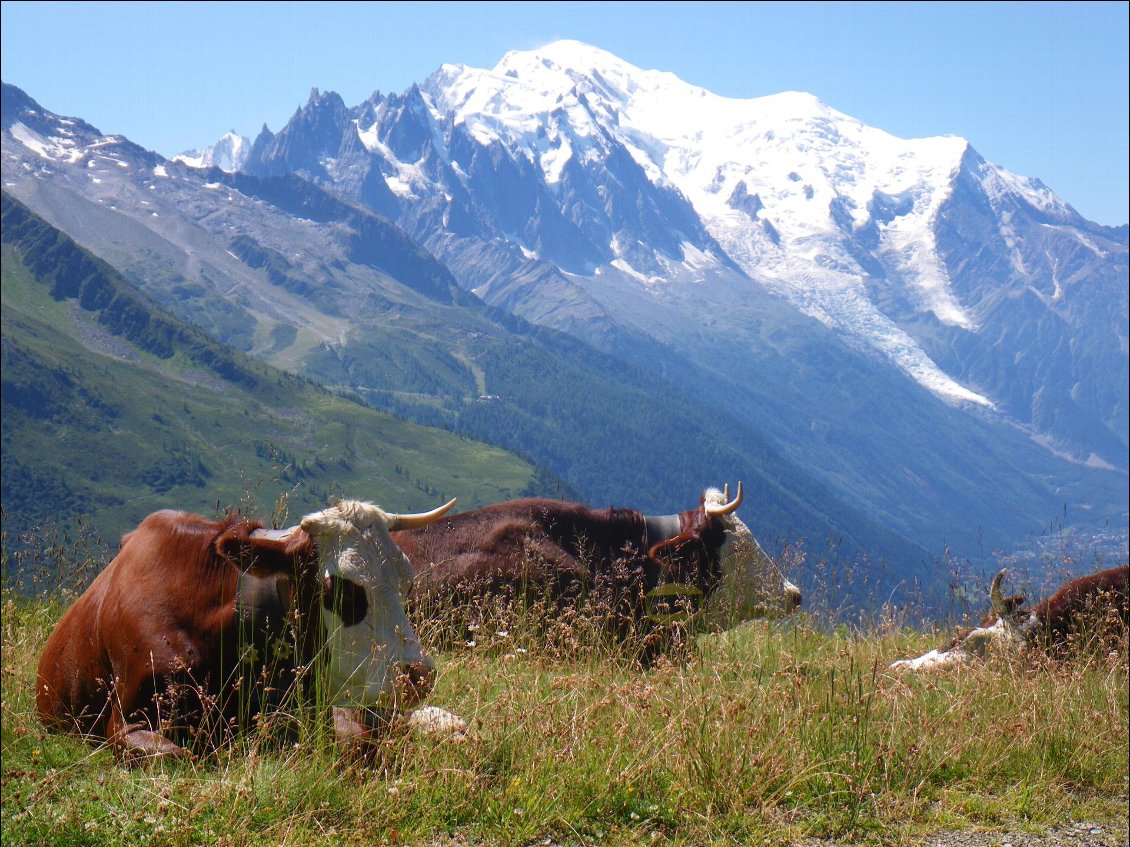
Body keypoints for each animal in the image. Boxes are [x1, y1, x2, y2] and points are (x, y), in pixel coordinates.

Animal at [37, 496, 456, 763]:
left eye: (406, 582)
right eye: (340, 589)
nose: (417, 674)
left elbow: (357, 743)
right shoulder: (127, 719)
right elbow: (177, 757)